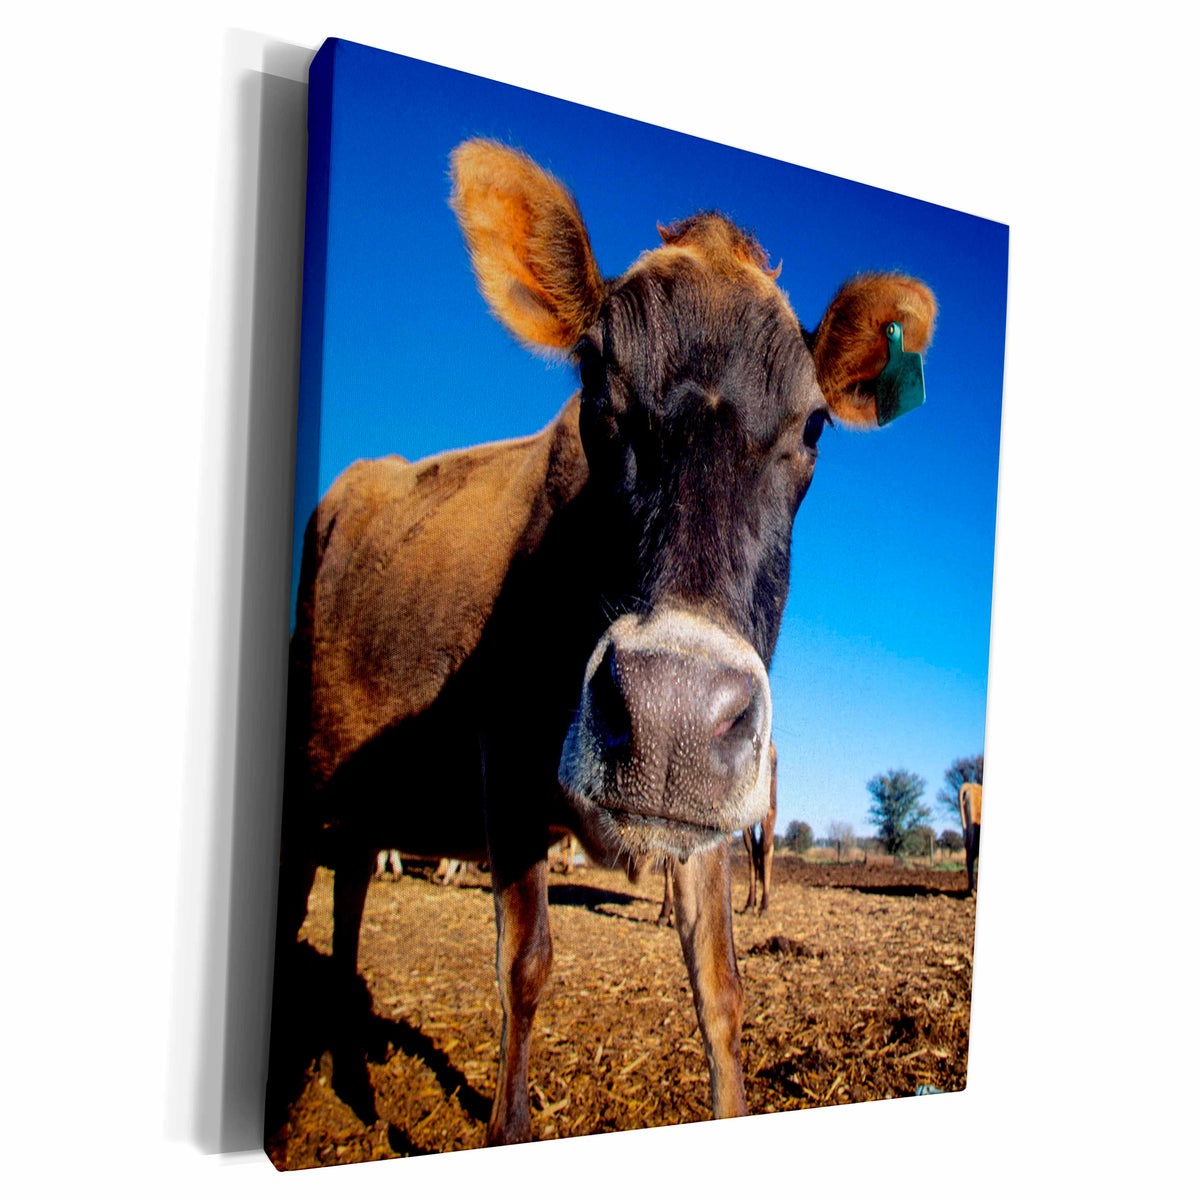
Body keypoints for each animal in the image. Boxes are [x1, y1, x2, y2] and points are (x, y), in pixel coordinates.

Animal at [272, 138, 936, 1146]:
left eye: (814, 424)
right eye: (592, 381)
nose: (670, 715)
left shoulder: (706, 809)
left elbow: (721, 990)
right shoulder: (505, 756)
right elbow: (525, 965)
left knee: (348, 887)